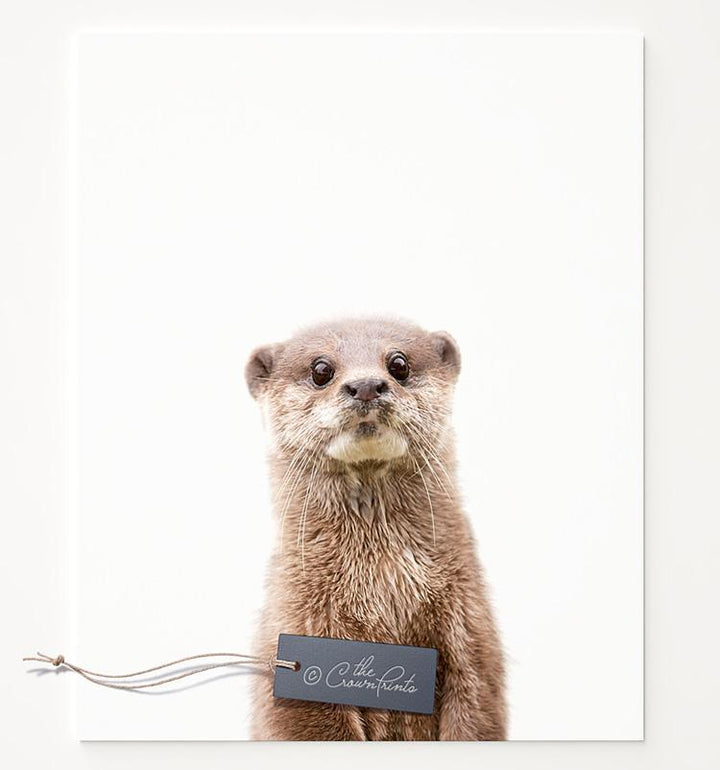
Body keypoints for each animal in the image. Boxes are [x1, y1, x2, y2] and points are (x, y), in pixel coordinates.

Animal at [245, 317, 506, 741]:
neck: (383, 590)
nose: (366, 384)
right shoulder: (294, 626)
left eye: (398, 364)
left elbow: (476, 712)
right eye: (321, 370)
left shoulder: (473, 633)